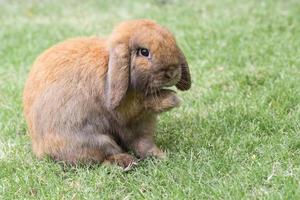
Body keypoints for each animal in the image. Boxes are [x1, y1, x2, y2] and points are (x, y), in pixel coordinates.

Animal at [24, 19, 192, 169]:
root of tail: (39, 149)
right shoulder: (124, 111)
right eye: (144, 52)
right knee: (102, 157)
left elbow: (143, 143)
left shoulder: (142, 126)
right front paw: (172, 99)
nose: (172, 72)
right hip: (93, 140)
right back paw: (126, 162)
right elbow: (139, 104)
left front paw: (161, 156)